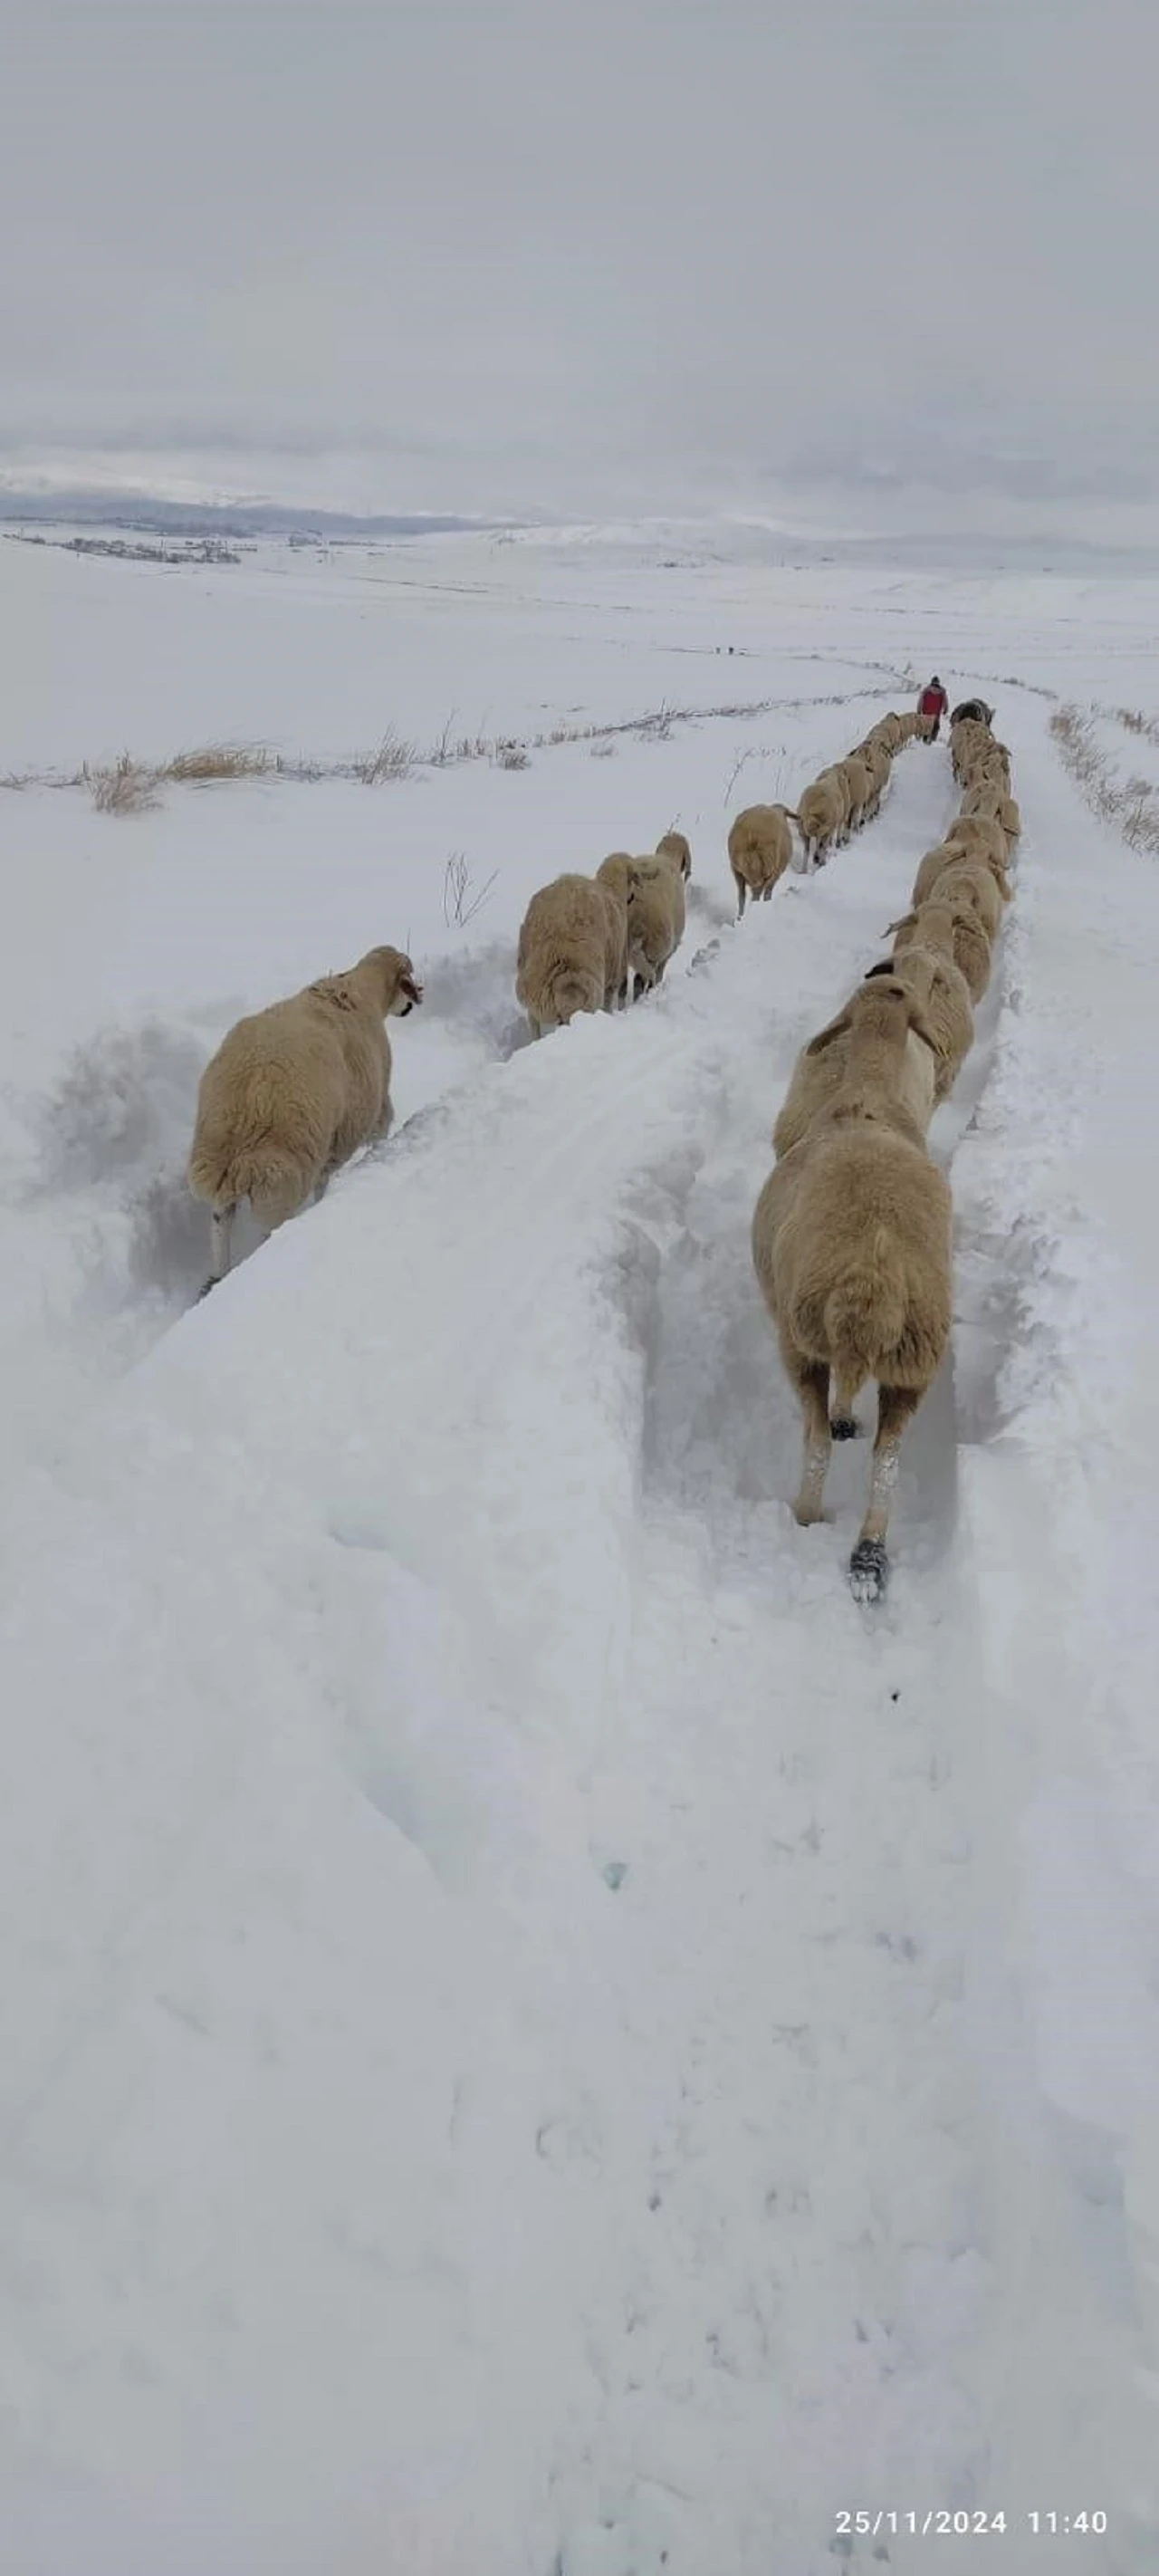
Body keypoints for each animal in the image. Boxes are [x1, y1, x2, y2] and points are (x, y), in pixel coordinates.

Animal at [187, 947, 422, 1298]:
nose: (412, 1003)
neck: (355, 991)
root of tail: (241, 1121)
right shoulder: (364, 1112)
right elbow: (367, 1142)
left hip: (217, 1173)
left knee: (220, 1222)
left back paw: (217, 1277)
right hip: (280, 1183)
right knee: (266, 1234)